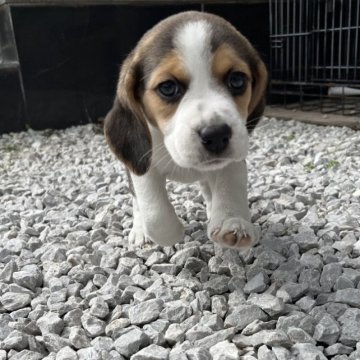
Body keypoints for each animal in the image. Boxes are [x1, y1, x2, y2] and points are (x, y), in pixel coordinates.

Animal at [104, 10, 268, 248]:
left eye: (237, 80)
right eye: (167, 87)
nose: (216, 134)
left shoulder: (234, 155)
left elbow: (230, 184)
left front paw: (232, 221)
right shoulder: (144, 164)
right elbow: (155, 213)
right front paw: (171, 233)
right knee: (137, 203)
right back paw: (140, 230)